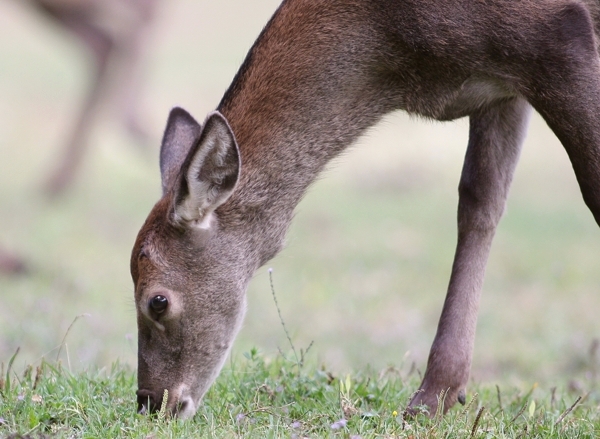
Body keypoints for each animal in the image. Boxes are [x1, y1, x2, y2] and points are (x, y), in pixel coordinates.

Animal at [131, 0, 600, 422]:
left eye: (158, 301)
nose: (151, 402)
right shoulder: (500, 88)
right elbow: (480, 202)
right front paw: (437, 396)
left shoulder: (558, 34)